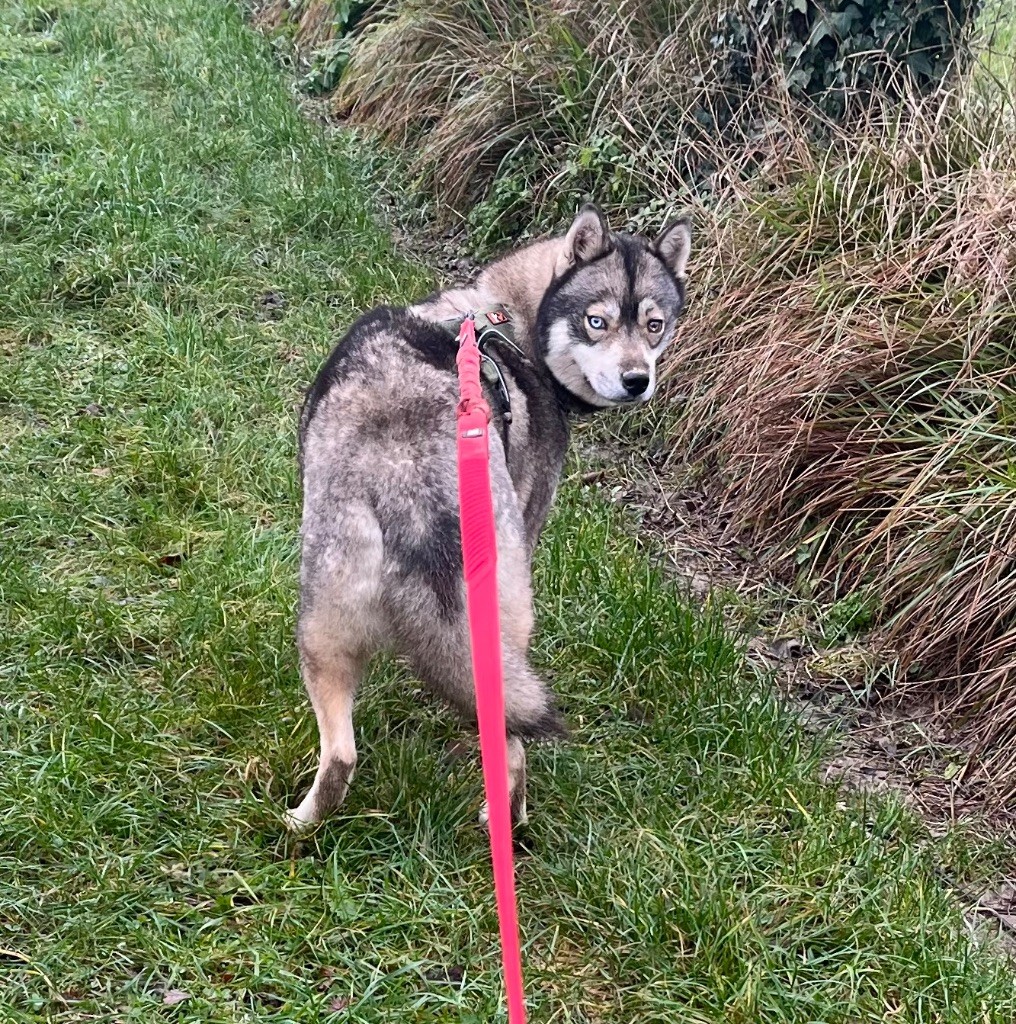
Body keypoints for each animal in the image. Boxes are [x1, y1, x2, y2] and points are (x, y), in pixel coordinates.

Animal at [288, 203, 696, 827]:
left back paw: (301, 822)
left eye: (654, 326)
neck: (503, 315)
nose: (636, 381)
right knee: (512, 743)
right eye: (596, 322)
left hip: (320, 629)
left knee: (340, 754)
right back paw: (512, 816)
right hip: (505, 622)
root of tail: (408, 481)